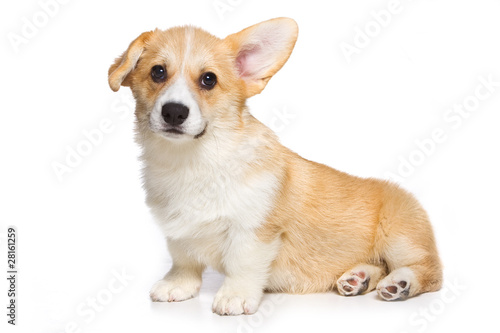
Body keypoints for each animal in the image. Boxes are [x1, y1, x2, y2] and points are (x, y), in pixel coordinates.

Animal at [108, 17, 442, 314]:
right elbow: (184, 260)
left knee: (430, 272)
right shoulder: (179, 231)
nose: (174, 112)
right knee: (379, 266)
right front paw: (177, 285)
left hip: (399, 238)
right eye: (158, 72)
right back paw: (357, 278)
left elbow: (242, 263)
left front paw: (235, 296)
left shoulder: (255, 229)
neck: (193, 158)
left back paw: (400, 283)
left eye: (209, 79)